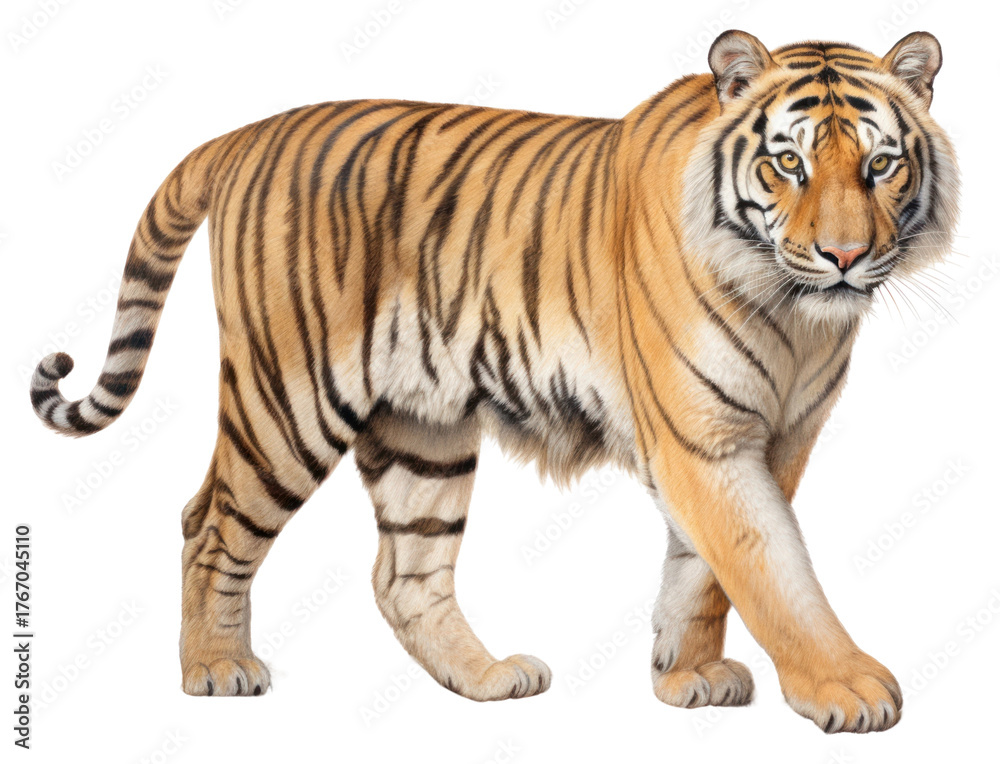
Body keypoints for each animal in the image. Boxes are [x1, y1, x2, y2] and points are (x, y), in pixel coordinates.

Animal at [30, 29, 958, 732]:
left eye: (880, 166)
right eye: (789, 165)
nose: (844, 256)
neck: (796, 314)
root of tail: (246, 134)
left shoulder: (777, 439)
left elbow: (706, 572)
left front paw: (684, 677)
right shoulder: (703, 439)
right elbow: (771, 569)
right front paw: (846, 687)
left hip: (423, 431)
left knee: (402, 574)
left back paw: (484, 679)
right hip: (285, 403)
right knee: (208, 522)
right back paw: (217, 668)